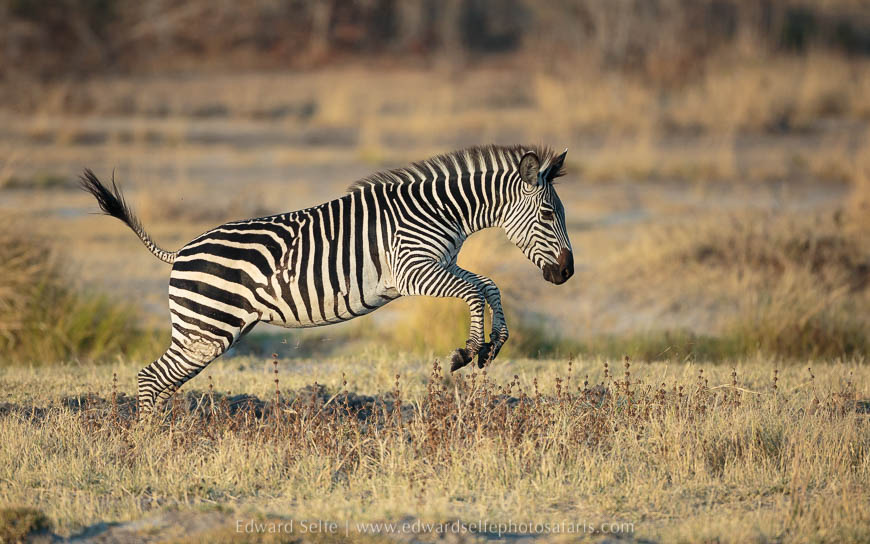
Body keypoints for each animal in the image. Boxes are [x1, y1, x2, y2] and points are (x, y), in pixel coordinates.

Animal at [80, 144, 574, 415]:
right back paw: (150, 446)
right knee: (150, 378)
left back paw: (169, 437)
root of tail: (180, 251)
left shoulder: (438, 264)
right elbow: (475, 289)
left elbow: (488, 285)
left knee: (162, 381)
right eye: (549, 215)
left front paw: (492, 345)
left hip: (204, 333)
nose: (566, 272)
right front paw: (468, 351)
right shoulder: (413, 270)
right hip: (206, 328)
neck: (440, 212)